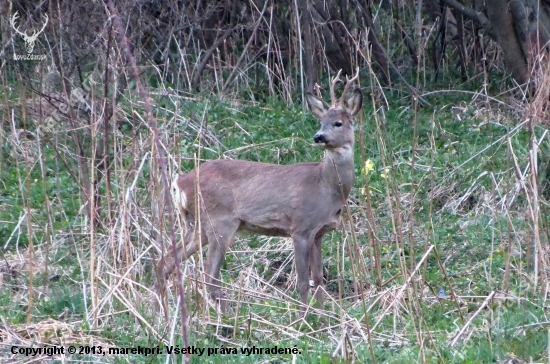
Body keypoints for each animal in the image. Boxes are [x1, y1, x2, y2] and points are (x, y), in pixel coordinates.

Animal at [170, 70, 364, 312]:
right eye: (321, 121)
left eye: (337, 123)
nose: (318, 136)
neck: (326, 187)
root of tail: (181, 181)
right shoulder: (300, 227)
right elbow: (303, 281)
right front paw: (304, 316)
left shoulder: (318, 232)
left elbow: (318, 277)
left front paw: (322, 312)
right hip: (219, 221)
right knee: (209, 275)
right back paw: (225, 315)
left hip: (196, 225)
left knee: (167, 259)